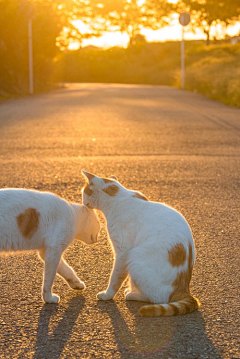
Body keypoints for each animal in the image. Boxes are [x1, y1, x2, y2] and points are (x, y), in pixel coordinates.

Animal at [81, 172, 200, 318]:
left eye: (83, 191)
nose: (82, 201)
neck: (118, 198)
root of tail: (184, 289)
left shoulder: (123, 252)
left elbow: (115, 277)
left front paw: (108, 295)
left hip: (135, 259)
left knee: (158, 299)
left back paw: (132, 294)